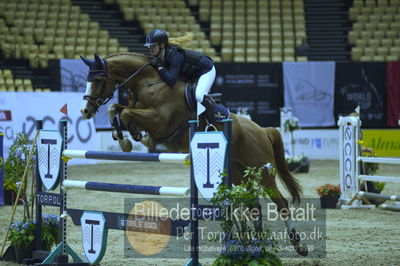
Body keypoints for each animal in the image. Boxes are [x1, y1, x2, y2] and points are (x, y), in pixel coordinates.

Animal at [79, 52, 308, 256]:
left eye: (98, 80)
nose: (85, 111)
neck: (148, 83)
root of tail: (263, 130)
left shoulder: (160, 121)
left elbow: (125, 112)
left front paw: (131, 139)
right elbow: (116, 109)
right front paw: (128, 138)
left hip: (262, 172)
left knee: (281, 203)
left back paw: (298, 245)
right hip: (239, 174)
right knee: (254, 206)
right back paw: (257, 245)